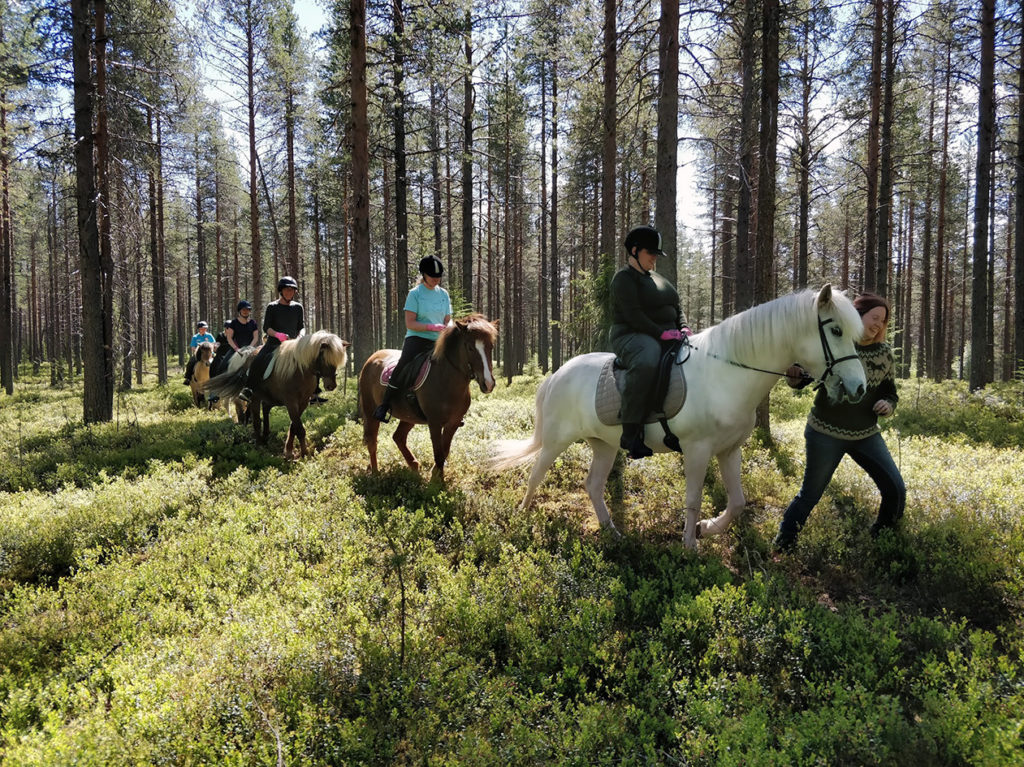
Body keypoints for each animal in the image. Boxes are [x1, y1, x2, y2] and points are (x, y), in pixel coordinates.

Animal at [205, 327, 350, 458]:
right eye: (324, 358)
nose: (331, 385)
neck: (300, 371)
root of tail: (248, 355)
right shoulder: (291, 402)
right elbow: (299, 428)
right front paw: (304, 453)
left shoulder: (302, 402)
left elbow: (294, 427)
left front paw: (290, 450)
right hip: (255, 397)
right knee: (256, 419)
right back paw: (259, 444)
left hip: (269, 398)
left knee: (265, 410)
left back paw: (265, 436)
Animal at [360, 309, 499, 479]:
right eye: (470, 348)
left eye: (491, 346)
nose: (488, 383)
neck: (446, 381)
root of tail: (372, 358)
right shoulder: (434, 423)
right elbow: (438, 453)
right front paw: (436, 481)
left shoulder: (453, 423)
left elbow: (444, 452)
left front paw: (436, 475)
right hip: (370, 411)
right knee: (372, 441)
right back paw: (375, 473)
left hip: (409, 416)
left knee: (398, 437)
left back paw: (413, 465)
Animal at [491, 284, 868, 548]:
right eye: (836, 331)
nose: (859, 387)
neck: (726, 373)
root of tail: (556, 374)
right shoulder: (697, 450)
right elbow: (693, 499)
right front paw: (689, 547)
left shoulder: (729, 450)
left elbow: (738, 502)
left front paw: (707, 528)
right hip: (557, 439)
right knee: (536, 475)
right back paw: (522, 518)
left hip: (604, 444)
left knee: (593, 485)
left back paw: (612, 533)